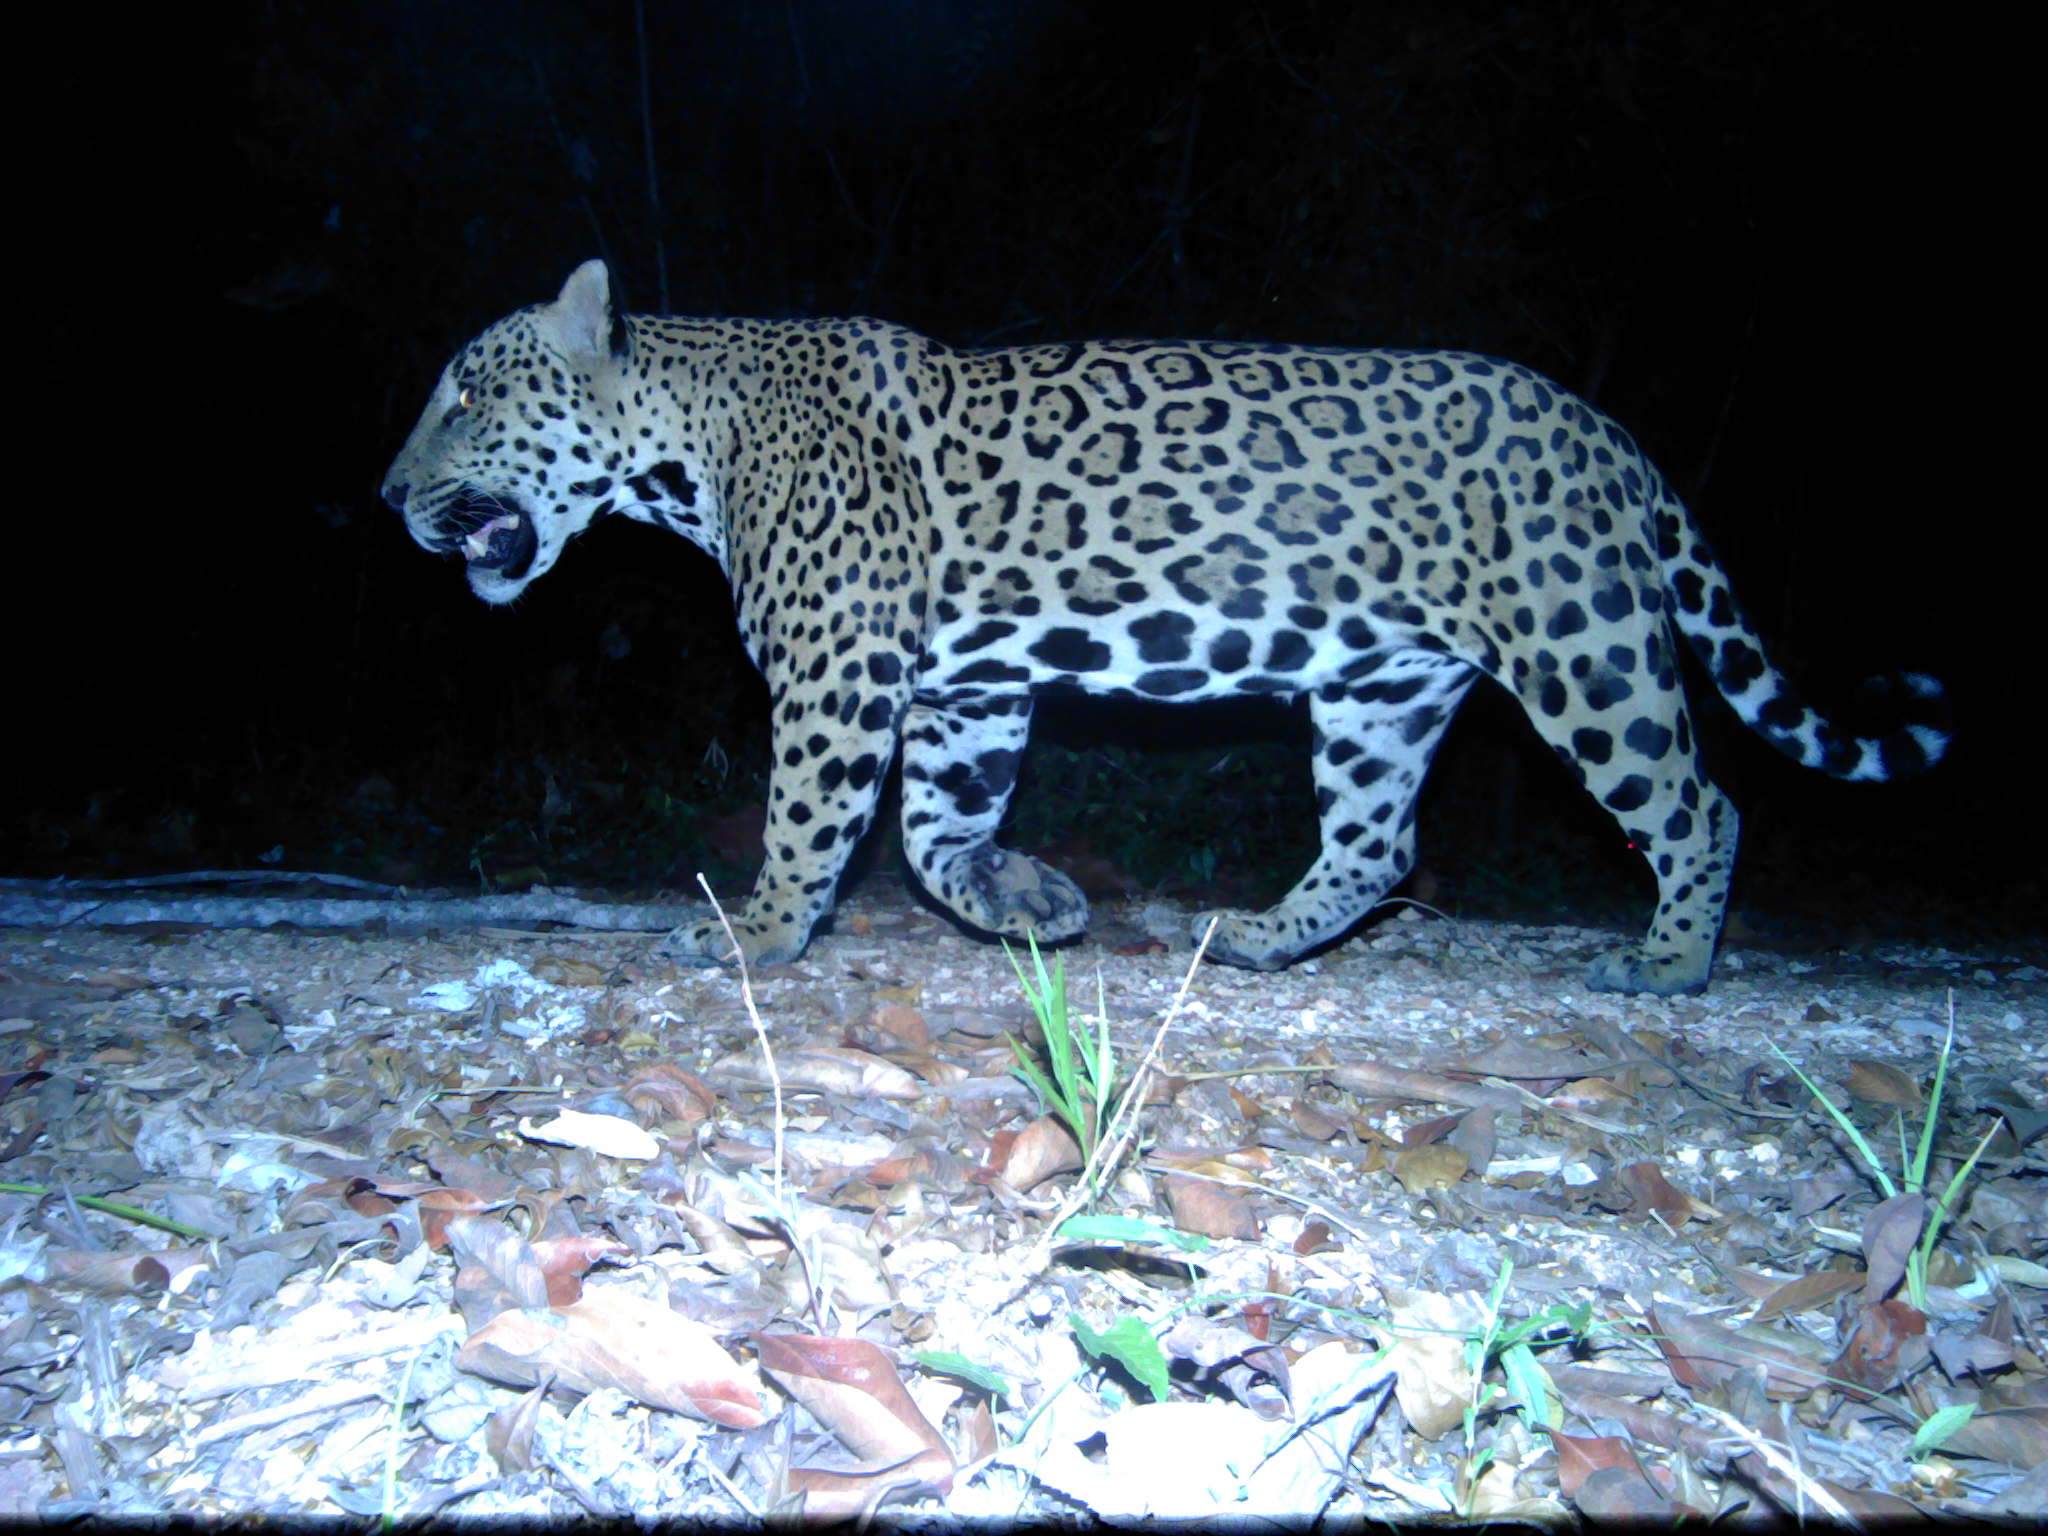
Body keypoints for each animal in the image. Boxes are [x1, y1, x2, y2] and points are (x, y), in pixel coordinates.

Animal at [382, 260, 1945, 995]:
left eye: (464, 392)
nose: (389, 494)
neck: (692, 445)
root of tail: (1609, 432)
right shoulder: (963, 693)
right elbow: (935, 835)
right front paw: (1031, 902)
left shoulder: (840, 673)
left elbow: (808, 821)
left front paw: (759, 934)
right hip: (1381, 689)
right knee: (1379, 841)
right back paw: (1258, 939)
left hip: (1583, 643)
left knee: (1699, 805)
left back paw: (1670, 961)